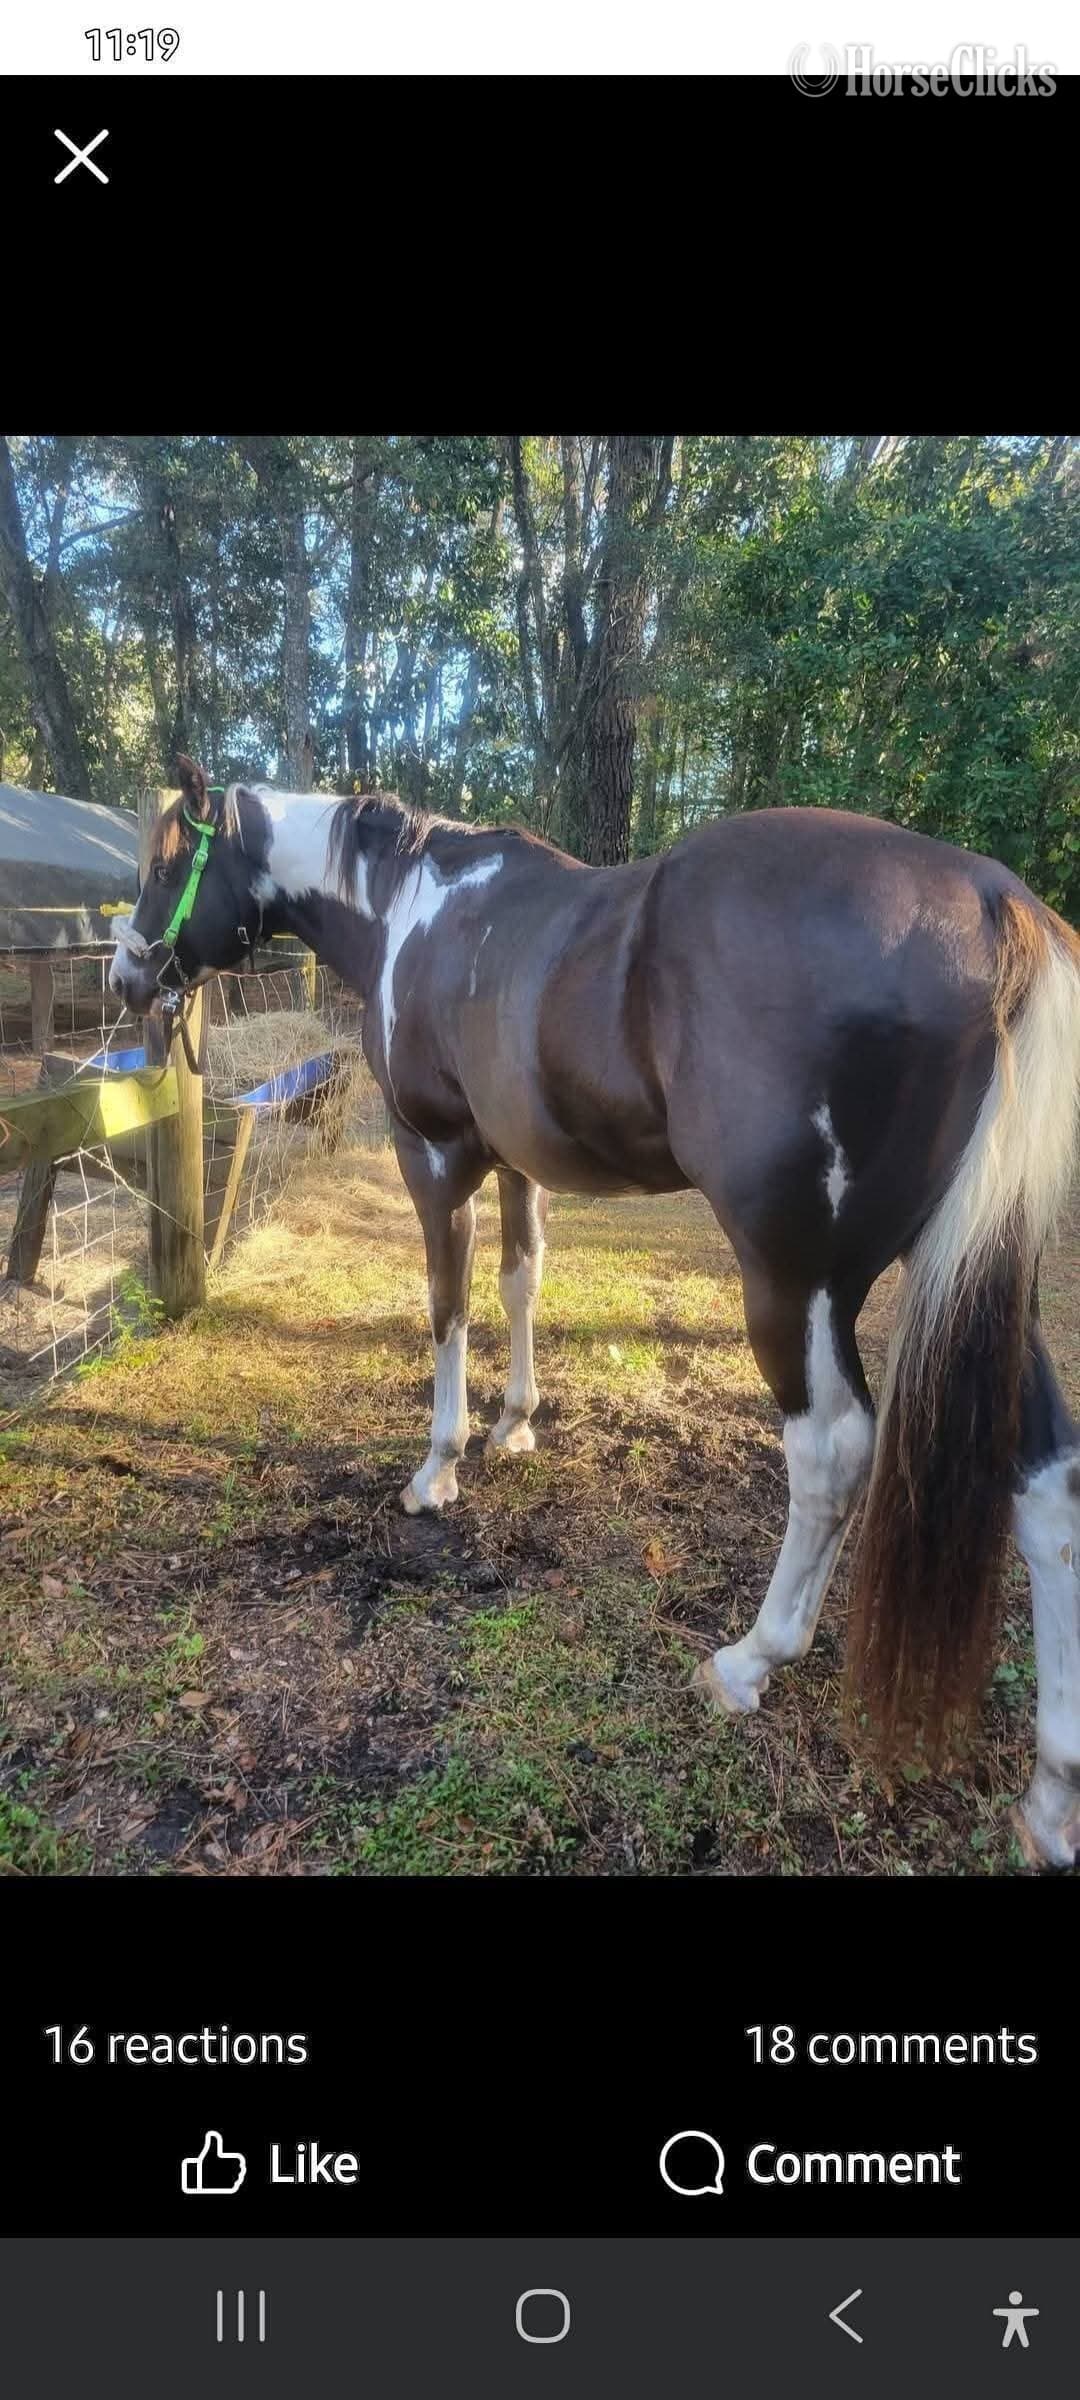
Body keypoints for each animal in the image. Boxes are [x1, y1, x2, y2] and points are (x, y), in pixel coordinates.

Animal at [110, 757, 1080, 1867]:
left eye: (166, 863)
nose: (125, 975)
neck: (409, 906)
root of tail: (995, 904)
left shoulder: (434, 1156)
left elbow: (446, 1306)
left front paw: (438, 1470)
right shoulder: (518, 1161)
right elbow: (520, 1280)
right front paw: (517, 1424)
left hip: (797, 1278)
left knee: (833, 1452)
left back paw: (749, 1662)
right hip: (972, 1274)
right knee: (1047, 1485)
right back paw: (1052, 1794)